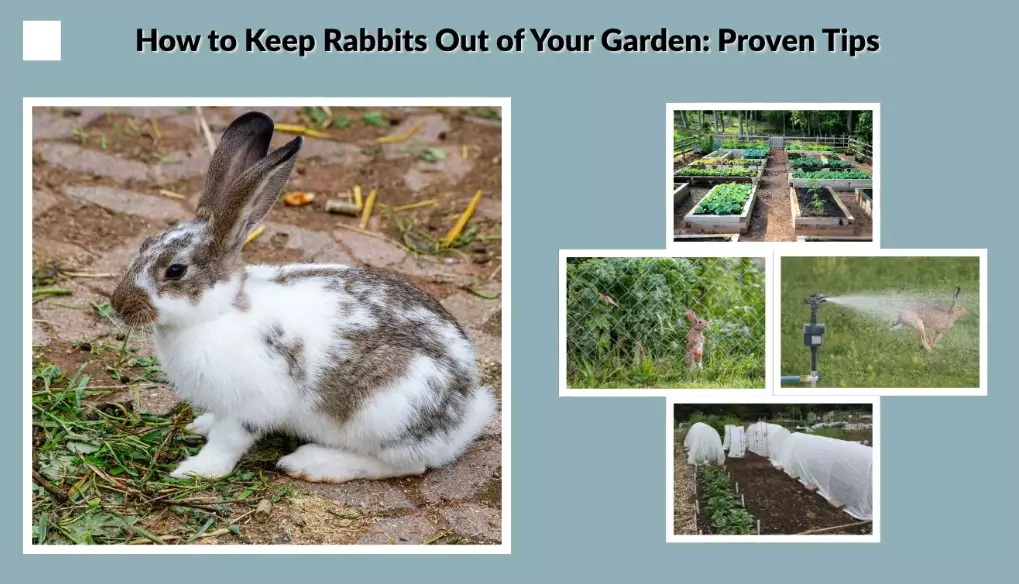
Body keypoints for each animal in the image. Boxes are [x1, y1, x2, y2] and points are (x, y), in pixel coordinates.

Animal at [109, 111, 496, 483]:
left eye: (175, 270)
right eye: (144, 244)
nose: (118, 305)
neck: (217, 312)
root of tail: (466, 416)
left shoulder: (249, 405)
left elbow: (227, 442)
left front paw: (196, 470)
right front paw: (200, 425)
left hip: (388, 412)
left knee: (408, 465)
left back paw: (311, 463)